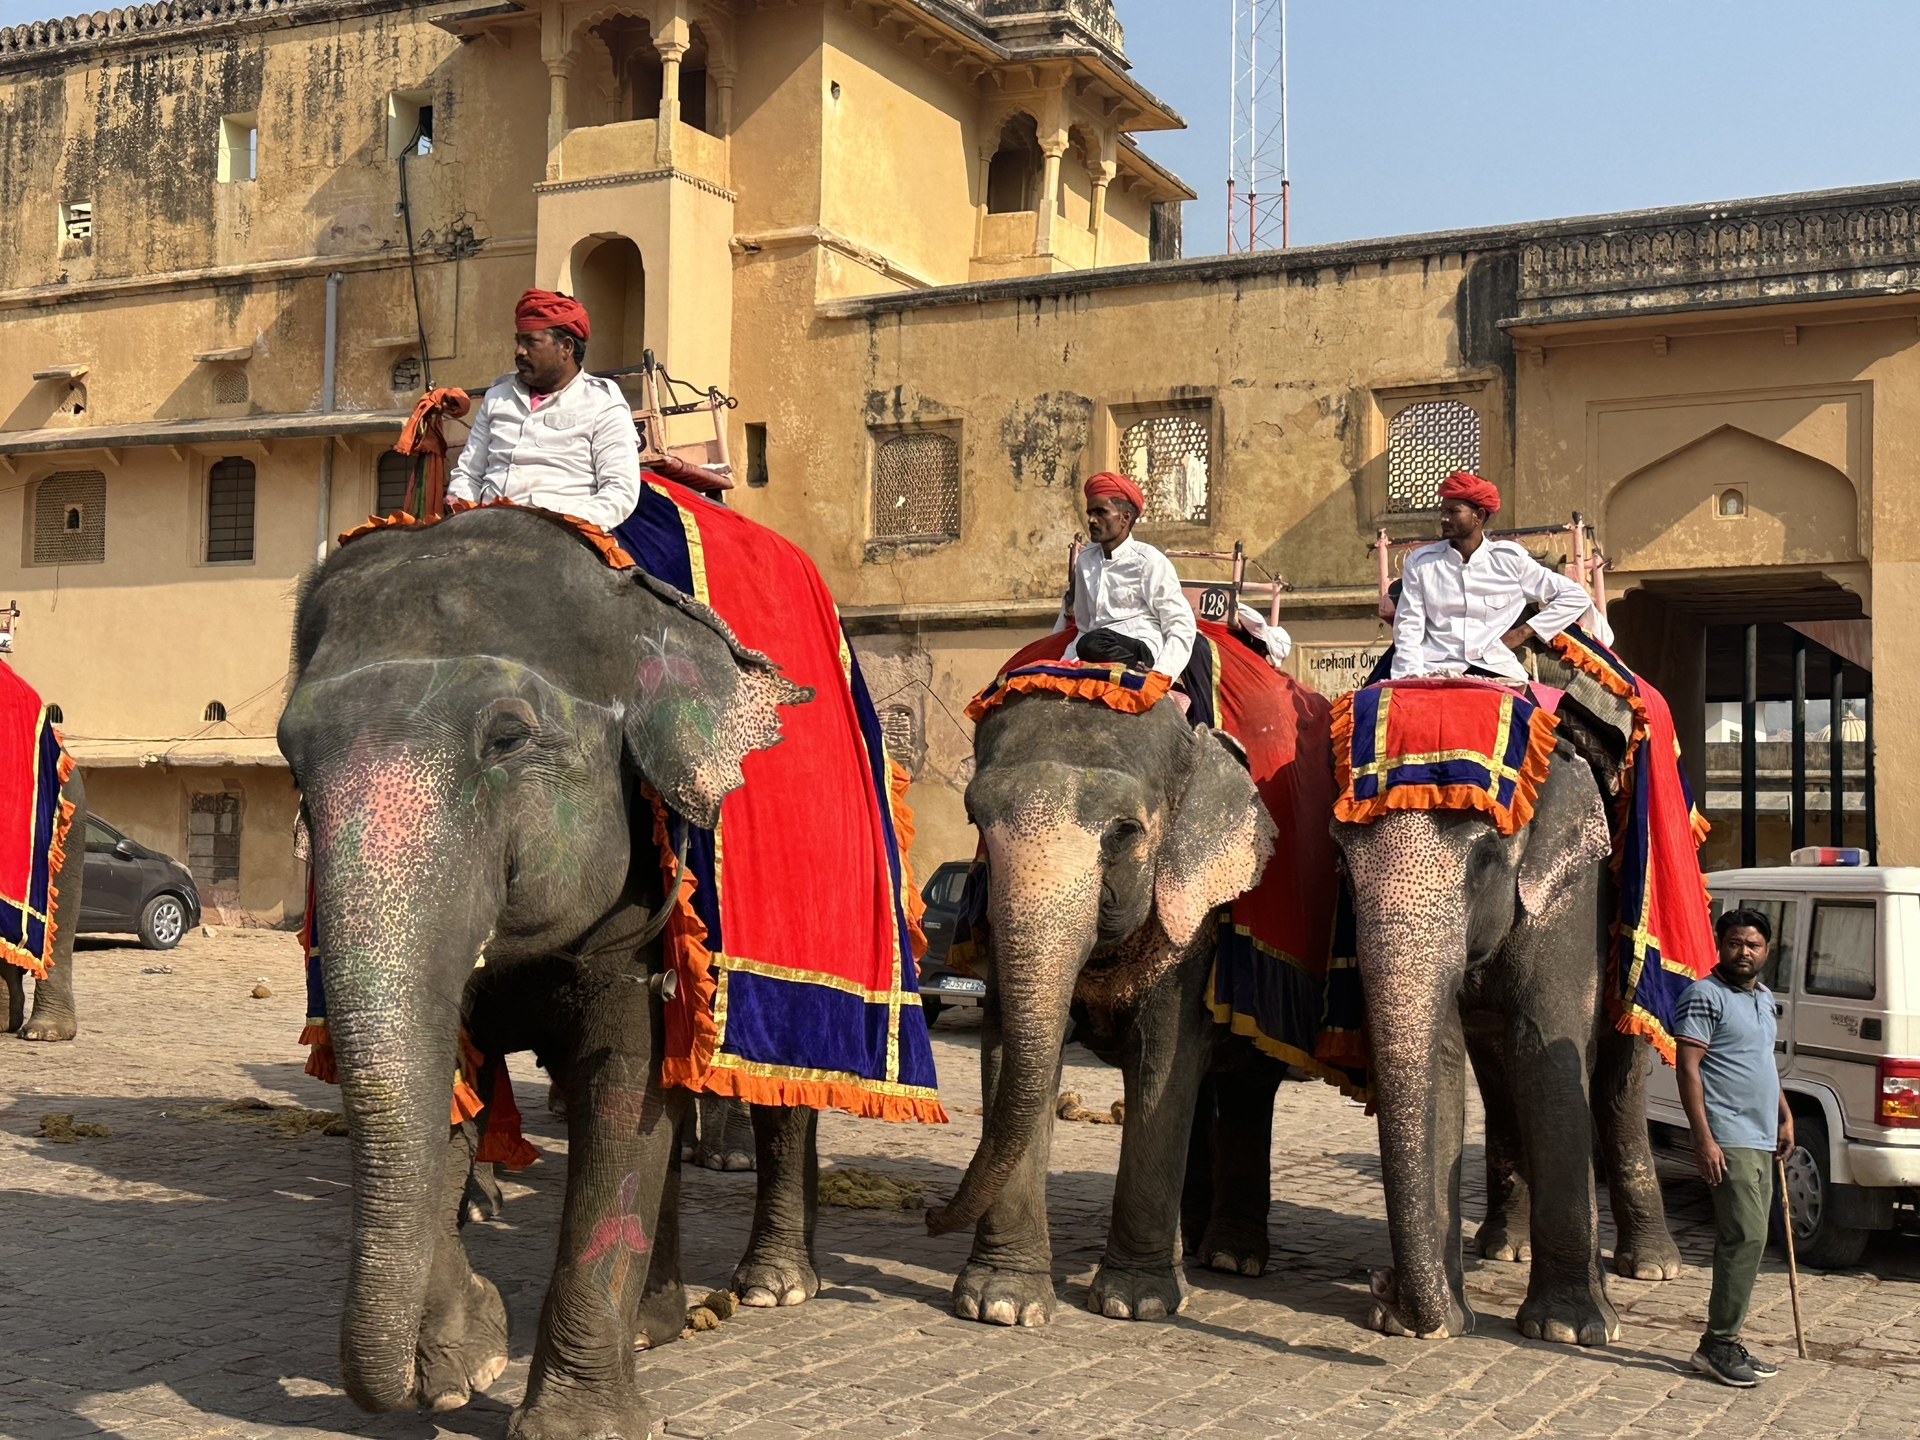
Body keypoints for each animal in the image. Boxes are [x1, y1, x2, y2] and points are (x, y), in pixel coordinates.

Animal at [278, 507, 827, 1440]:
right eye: (290, 760)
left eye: (508, 737)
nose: (403, 1378)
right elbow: (450, 1087)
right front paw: (463, 1367)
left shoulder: (647, 900)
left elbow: (625, 1086)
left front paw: (571, 1427)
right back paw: (653, 1328)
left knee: (777, 1083)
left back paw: (775, 1287)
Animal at [925, 690, 1280, 1326]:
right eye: (974, 822)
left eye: (1125, 831)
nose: (925, 1216)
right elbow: (1006, 1055)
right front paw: (999, 1305)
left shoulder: (1193, 930)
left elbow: (1162, 1066)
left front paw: (1134, 1303)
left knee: (1246, 1086)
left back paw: (1230, 1260)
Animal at [1331, 692, 1683, 1347]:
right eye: (1341, 864)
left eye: (1486, 858)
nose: (1380, 1284)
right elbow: (1444, 1065)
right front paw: (1431, 1326)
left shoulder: (1573, 891)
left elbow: (1547, 1049)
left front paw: (1568, 1329)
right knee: (1497, 1075)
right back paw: (1502, 1247)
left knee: (1617, 1079)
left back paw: (1651, 1266)